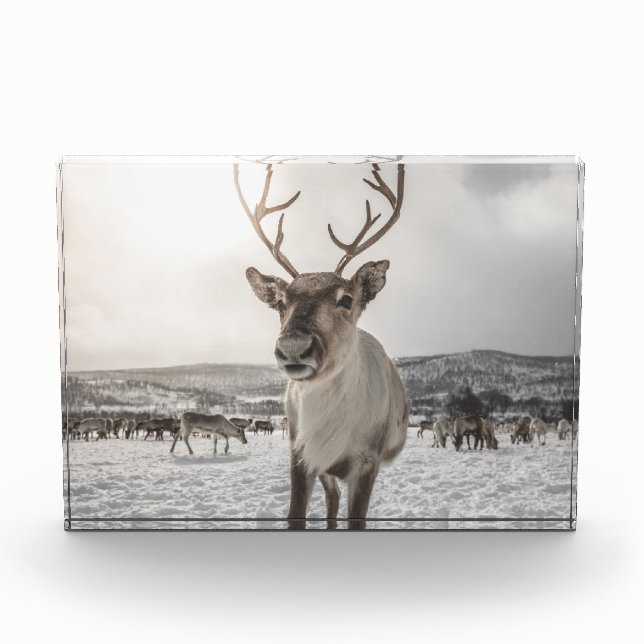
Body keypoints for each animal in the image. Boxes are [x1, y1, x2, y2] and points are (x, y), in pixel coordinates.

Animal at [236, 161, 408, 530]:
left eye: (346, 299)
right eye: (281, 302)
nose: (293, 346)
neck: (331, 430)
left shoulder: (367, 461)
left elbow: (357, 521)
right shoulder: (301, 453)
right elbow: (295, 517)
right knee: (332, 498)